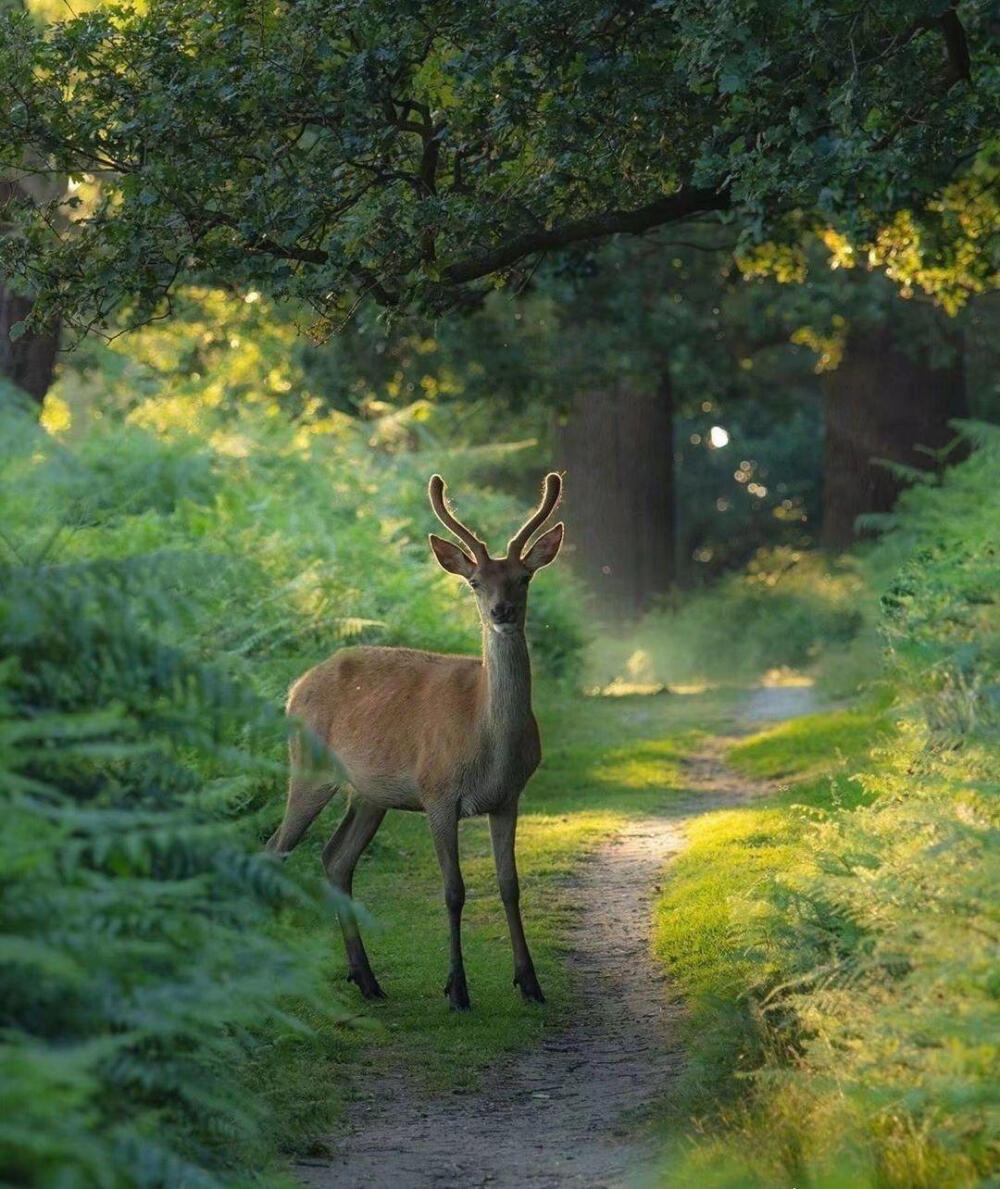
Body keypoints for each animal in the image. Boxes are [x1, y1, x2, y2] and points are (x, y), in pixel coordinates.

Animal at [265, 468, 561, 1008]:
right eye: (475, 582)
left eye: (524, 578)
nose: (502, 610)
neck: (487, 743)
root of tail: (295, 686)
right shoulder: (437, 791)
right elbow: (454, 889)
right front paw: (457, 988)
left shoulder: (509, 797)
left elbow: (509, 884)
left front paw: (529, 983)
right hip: (309, 770)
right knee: (276, 848)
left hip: (369, 794)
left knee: (335, 859)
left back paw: (366, 979)